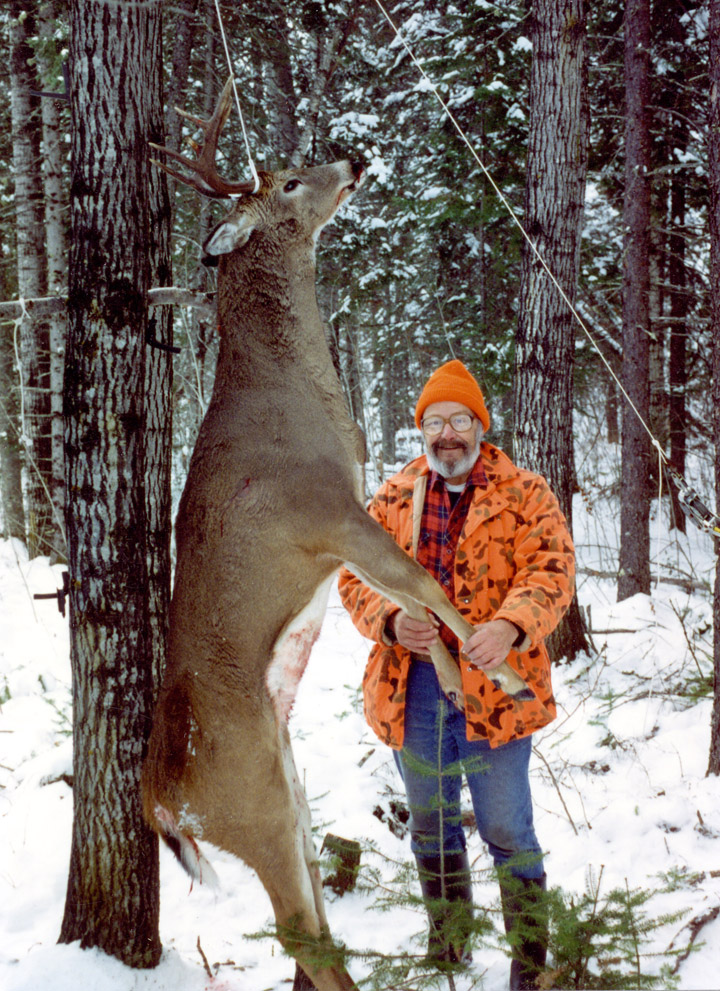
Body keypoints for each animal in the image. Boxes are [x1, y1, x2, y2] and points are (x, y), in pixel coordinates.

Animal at [143, 77, 532, 991]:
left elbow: (413, 599)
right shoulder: (325, 513)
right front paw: (504, 676)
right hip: (249, 804)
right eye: (287, 181)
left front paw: (455, 684)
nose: (353, 157)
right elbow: (419, 582)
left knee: (313, 919)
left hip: (289, 791)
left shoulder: (352, 515)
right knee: (301, 932)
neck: (294, 397)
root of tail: (157, 800)